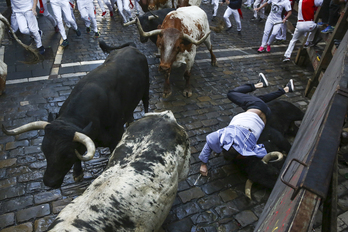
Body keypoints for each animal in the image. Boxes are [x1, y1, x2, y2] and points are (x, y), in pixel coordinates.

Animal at [2, 44, 150, 188]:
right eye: (44, 150)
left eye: (67, 155)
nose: (49, 182)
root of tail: (131, 47)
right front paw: (78, 173)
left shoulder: (116, 138)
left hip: (146, 89)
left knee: (146, 103)